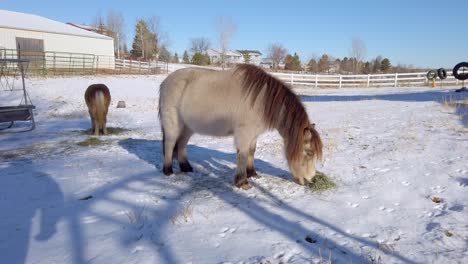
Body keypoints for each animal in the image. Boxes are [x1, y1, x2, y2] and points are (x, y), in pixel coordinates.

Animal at [157, 64, 322, 189]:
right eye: (309, 153)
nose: (311, 179)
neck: (261, 101)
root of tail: (165, 82)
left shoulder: (253, 135)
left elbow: (251, 152)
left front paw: (252, 174)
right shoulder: (244, 134)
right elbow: (242, 154)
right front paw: (242, 182)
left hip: (188, 127)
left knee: (181, 145)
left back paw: (187, 168)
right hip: (174, 125)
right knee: (170, 144)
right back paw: (168, 171)